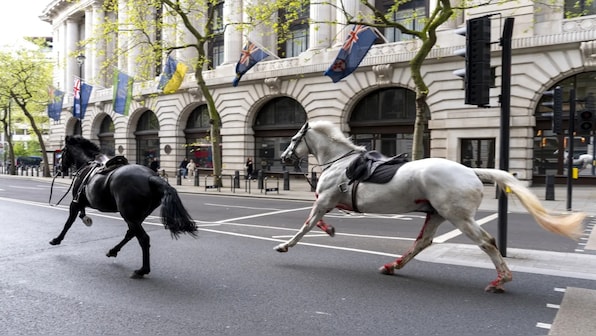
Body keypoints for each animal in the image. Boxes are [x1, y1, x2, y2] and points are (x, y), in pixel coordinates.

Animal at [50, 135, 197, 278]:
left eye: (63, 151)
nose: (59, 167)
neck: (88, 163)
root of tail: (151, 177)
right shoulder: (81, 202)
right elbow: (80, 214)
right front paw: (86, 219)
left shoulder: (75, 202)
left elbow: (68, 223)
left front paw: (57, 239)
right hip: (138, 216)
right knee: (131, 233)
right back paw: (113, 251)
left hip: (128, 215)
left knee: (143, 238)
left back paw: (142, 270)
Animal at [278, 122, 584, 292]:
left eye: (293, 139)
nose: (284, 157)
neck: (340, 162)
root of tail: (472, 172)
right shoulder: (329, 202)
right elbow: (316, 221)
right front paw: (329, 229)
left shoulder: (325, 200)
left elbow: (306, 225)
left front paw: (285, 245)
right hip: (436, 214)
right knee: (422, 242)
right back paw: (392, 265)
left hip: (458, 217)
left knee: (487, 241)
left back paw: (501, 280)